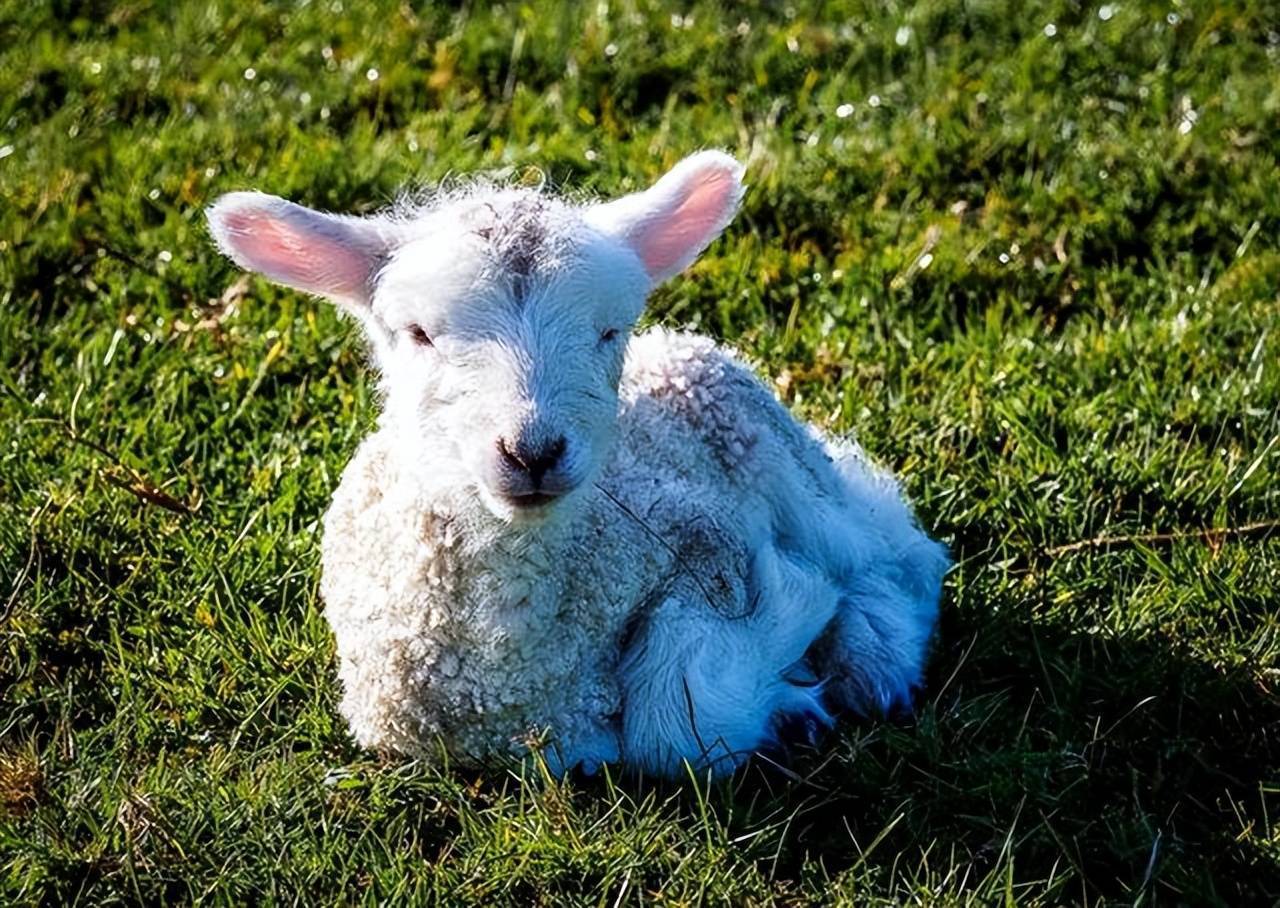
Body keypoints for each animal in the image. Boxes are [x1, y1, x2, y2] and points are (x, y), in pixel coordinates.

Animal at [207, 152, 952, 773]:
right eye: (417, 334)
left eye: (607, 330)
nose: (533, 451)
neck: (507, 679)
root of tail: (677, 344)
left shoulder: (707, 540)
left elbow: (677, 723)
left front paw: (793, 659)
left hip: (780, 459)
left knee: (894, 553)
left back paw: (872, 655)